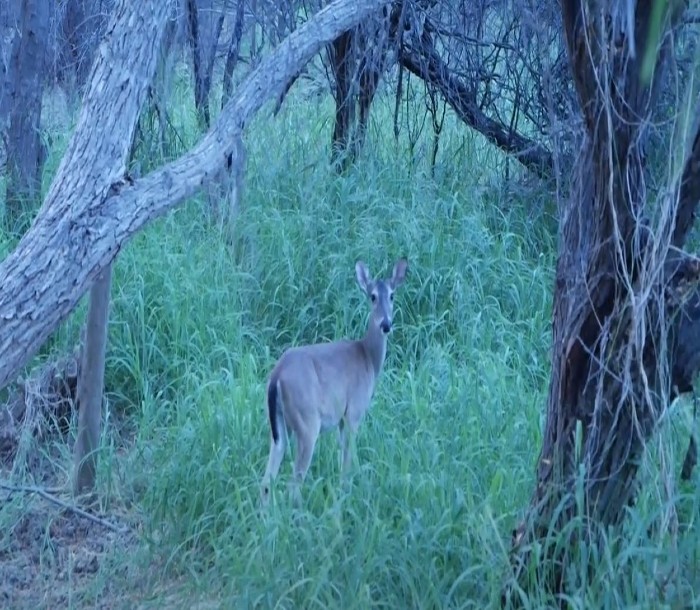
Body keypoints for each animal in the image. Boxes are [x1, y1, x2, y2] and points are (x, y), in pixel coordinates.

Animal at [260, 256, 408, 504]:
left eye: (392, 295)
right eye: (372, 296)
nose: (386, 324)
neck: (367, 357)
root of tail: (276, 376)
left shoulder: (340, 420)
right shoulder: (354, 412)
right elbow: (347, 465)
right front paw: (345, 497)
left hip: (278, 427)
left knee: (266, 482)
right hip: (307, 422)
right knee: (293, 484)